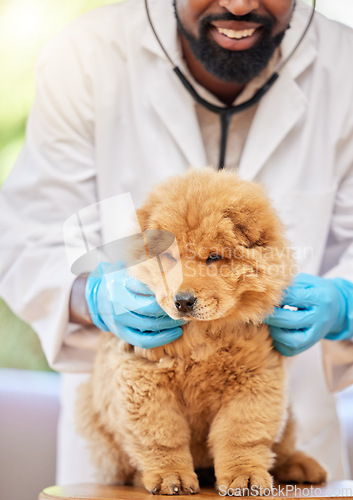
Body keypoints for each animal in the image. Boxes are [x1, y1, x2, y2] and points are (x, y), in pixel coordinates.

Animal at [75, 169, 326, 496]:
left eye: (214, 258)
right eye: (170, 259)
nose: (183, 301)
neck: (204, 336)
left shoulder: (253, 380)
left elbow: (239, 435)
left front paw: (244, 478)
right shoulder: (146, 379)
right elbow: (163, 437)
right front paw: (172, 478)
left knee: (282, 448)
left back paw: (303, 467)